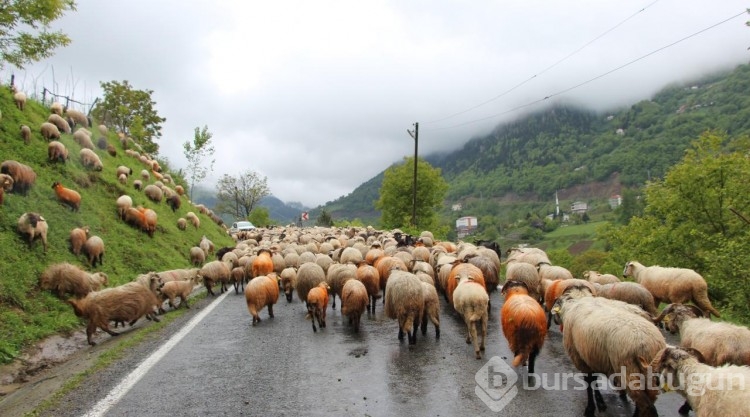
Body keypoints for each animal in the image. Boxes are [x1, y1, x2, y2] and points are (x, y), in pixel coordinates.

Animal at [548, 284, 668, 414]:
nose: (555, 321)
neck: (577, 301)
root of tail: (647, 344)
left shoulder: (580, 358)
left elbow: (589, 381)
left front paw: (591, 408)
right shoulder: (593, 355)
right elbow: (594, 379)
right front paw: (600, 402)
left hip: (628, 370)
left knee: (646, 405)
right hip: (649, 374)